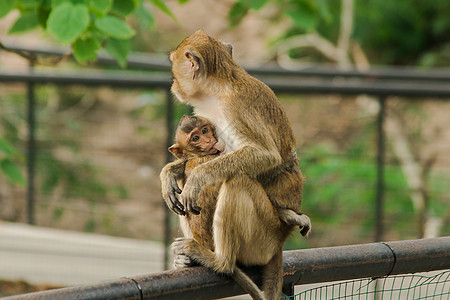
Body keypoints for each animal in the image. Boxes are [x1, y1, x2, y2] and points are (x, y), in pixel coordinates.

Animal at [162, 29, 306, 298]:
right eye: (198, 135)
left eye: (174, 66)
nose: (174, 84)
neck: (218, 87)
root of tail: (279, 242)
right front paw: (168, 174)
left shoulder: (235, 107)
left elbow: (267, 155)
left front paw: (197, 178)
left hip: (264, 237)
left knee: (237, 181)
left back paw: (221, 262)